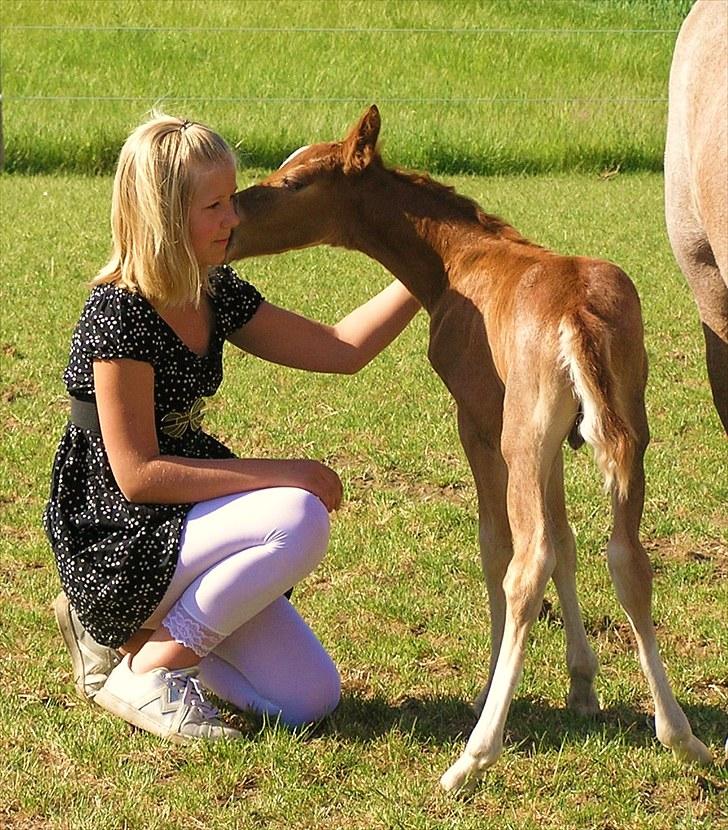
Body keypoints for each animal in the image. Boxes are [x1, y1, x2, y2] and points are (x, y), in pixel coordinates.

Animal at [229, 107, 712, 788]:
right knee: (627, 558)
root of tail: (579, 312)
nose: (231, 224)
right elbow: (567, 544)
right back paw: (681, 736)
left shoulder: (480, 425)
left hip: (521, 436)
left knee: (526, 564)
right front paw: (582, 685)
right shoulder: (558, 445)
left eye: (294, 182)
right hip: (627, 434)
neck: (458, 261)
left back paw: (475, 754)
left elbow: (497, 546)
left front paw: (493, 686)